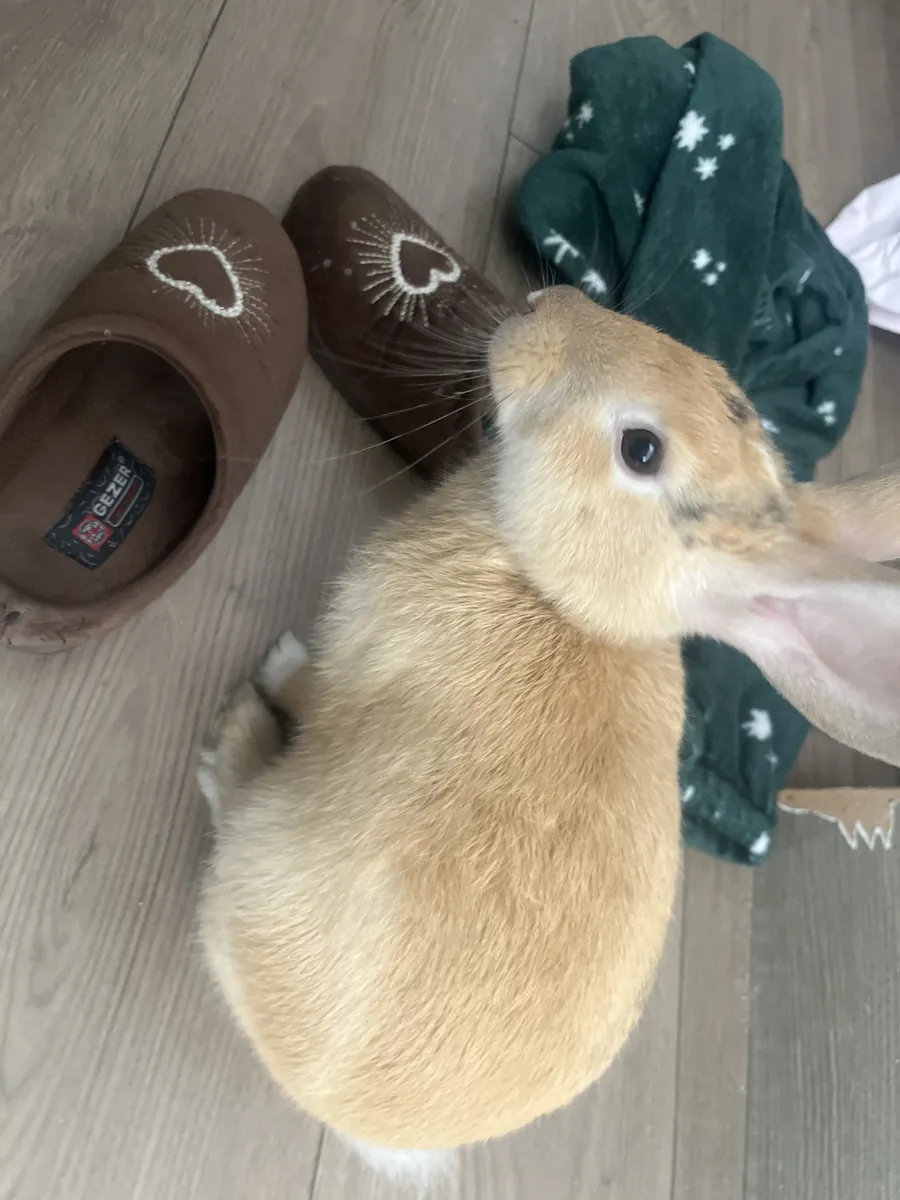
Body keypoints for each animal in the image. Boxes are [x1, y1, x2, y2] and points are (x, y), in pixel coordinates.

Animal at [197, 286, 900, 1182]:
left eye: (641, 450)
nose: (543, 304)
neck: (561, 599)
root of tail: (343, 1114)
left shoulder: (350, 658)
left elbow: (311, 686)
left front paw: (282, 662)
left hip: (255, 852)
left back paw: (234, 733)